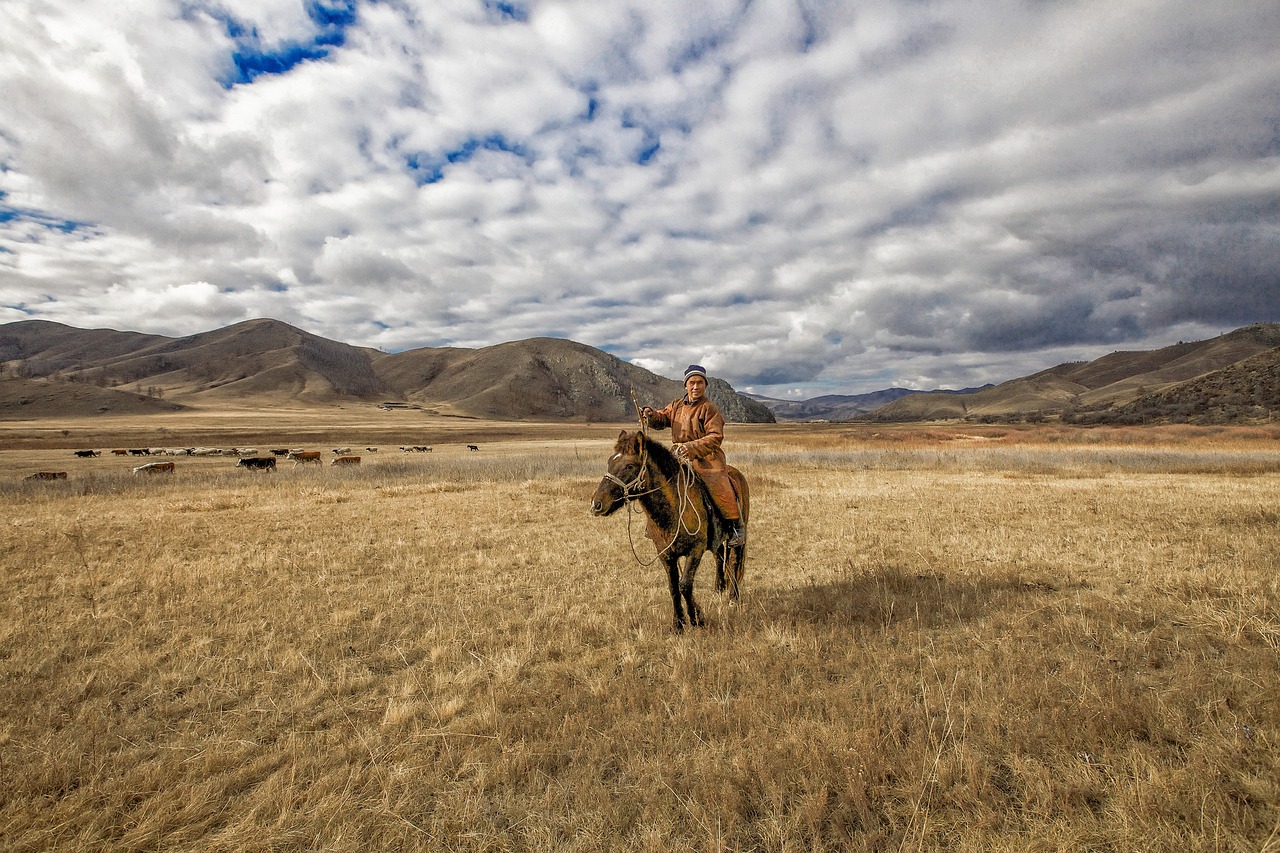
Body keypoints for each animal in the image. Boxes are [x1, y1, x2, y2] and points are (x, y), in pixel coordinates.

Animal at [591, 427, 747, 627]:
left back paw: (733, 598)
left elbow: (685, 585)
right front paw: (678, 624)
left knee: (734, 561)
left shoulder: (695, 550)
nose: (597, 504)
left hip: (739, 533)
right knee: (719, 556)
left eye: (629, 466)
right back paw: (718, 588)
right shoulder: (665, 554)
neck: (673, 509)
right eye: (610, 461)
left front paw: (696, 619)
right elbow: (673, 586)